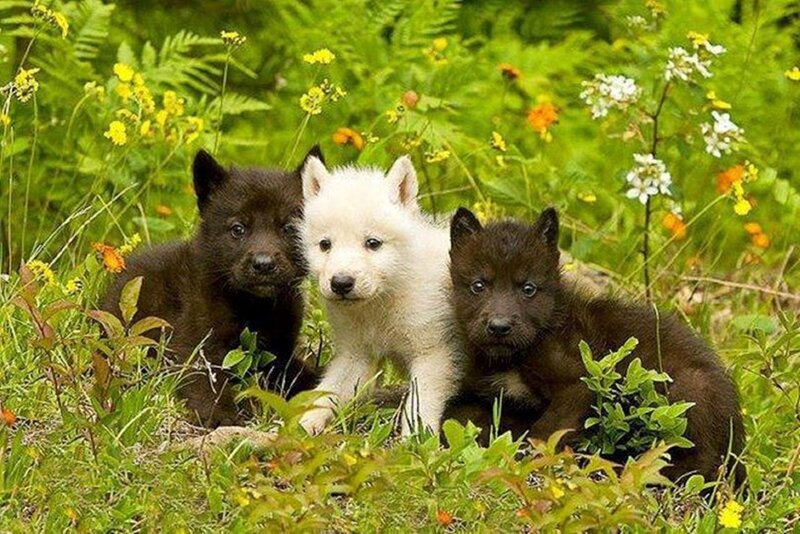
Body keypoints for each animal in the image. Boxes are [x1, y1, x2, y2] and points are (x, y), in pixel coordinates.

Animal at [101, 148, 322, 427]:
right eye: (238, 229)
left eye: (289, 228)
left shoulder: (280, 353)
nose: (264, 264)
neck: (254, 307)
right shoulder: (195, 345)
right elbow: (208, 384)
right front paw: (222, 416)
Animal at [297, 155, 460, 436]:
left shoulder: (433, 353)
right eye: (325, 244)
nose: (341, 283)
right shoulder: (356, 354)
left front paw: (415, 441)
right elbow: (327, 391)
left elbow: (419, 405)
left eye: (373, 243)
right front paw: (301, 424)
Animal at [445, 207, 744, 484]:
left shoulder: (579, 382)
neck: (513, 358)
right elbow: (458, 415)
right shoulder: (487, 394)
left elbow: (546, 432)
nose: (499, 327)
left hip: (689, 389)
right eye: (478, 285)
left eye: (528, 289)